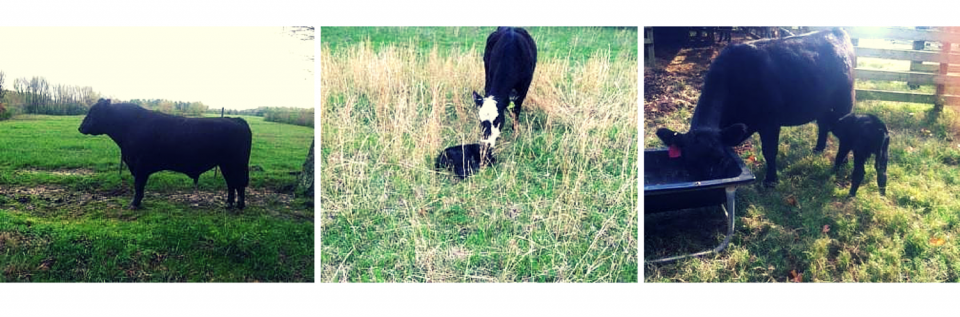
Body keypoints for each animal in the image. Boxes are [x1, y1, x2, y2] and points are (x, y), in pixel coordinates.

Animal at [80, 97, 251, 209]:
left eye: (94, 112)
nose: (80, 127)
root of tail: (235, 119)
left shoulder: (140, 166)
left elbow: (138, 186)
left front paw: (134, 204)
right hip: (225, 164)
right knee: (231, 183)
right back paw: (228, 204)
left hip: (236, 163)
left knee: (239, 183)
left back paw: (240, 205)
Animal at [656, 27, 860, 185]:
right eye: (687, 160)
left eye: (719, 159)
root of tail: (835, 30)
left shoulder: (770, 123)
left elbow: (769, 151)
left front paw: (771, 180)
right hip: (821, 104)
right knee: (823, 125)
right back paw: (818, 149)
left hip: (845, 102)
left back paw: (842, 162)